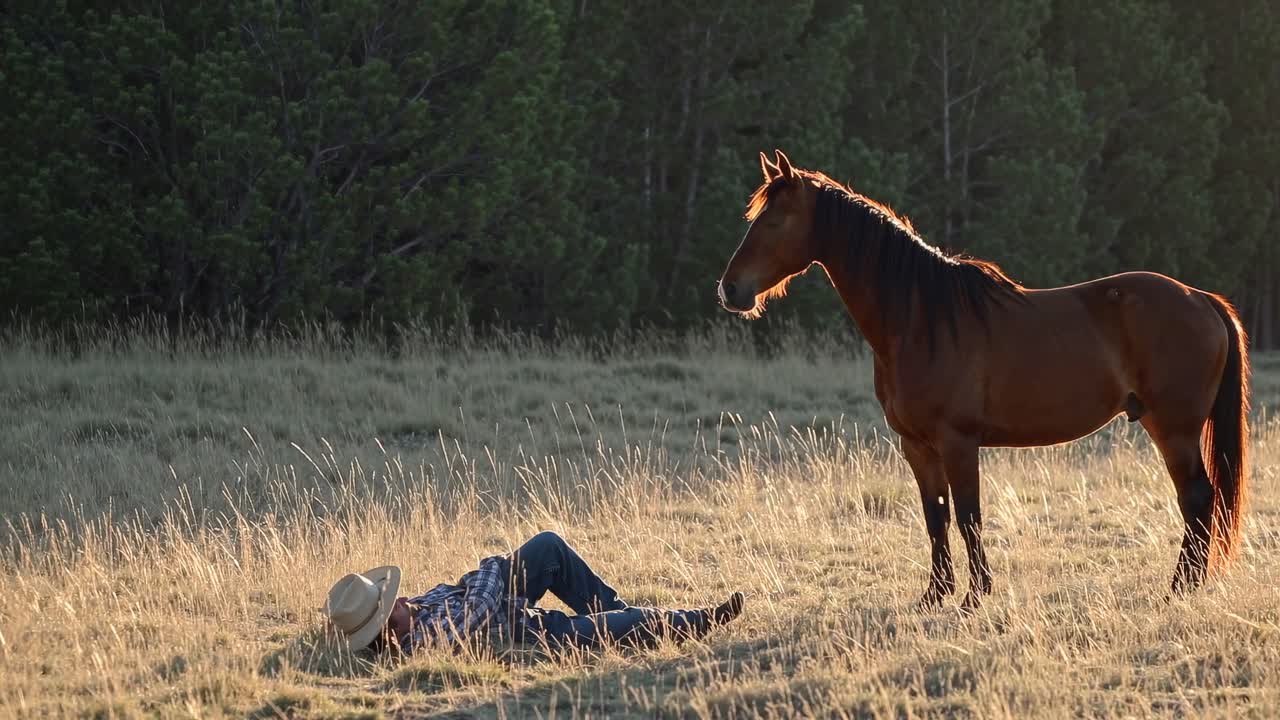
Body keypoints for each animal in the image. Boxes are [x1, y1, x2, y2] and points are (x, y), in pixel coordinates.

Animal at [717, 150, 1250, 610]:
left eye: (773, 221)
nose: (730, 290)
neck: (920, 319)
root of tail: (1202, 299)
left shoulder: (958, 441)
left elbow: (968, 516)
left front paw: (975, 596)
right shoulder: (917, 446)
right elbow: (935, 517)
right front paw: (935, 594)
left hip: (1174, 429)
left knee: (1197, 498)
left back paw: (1181, 586)